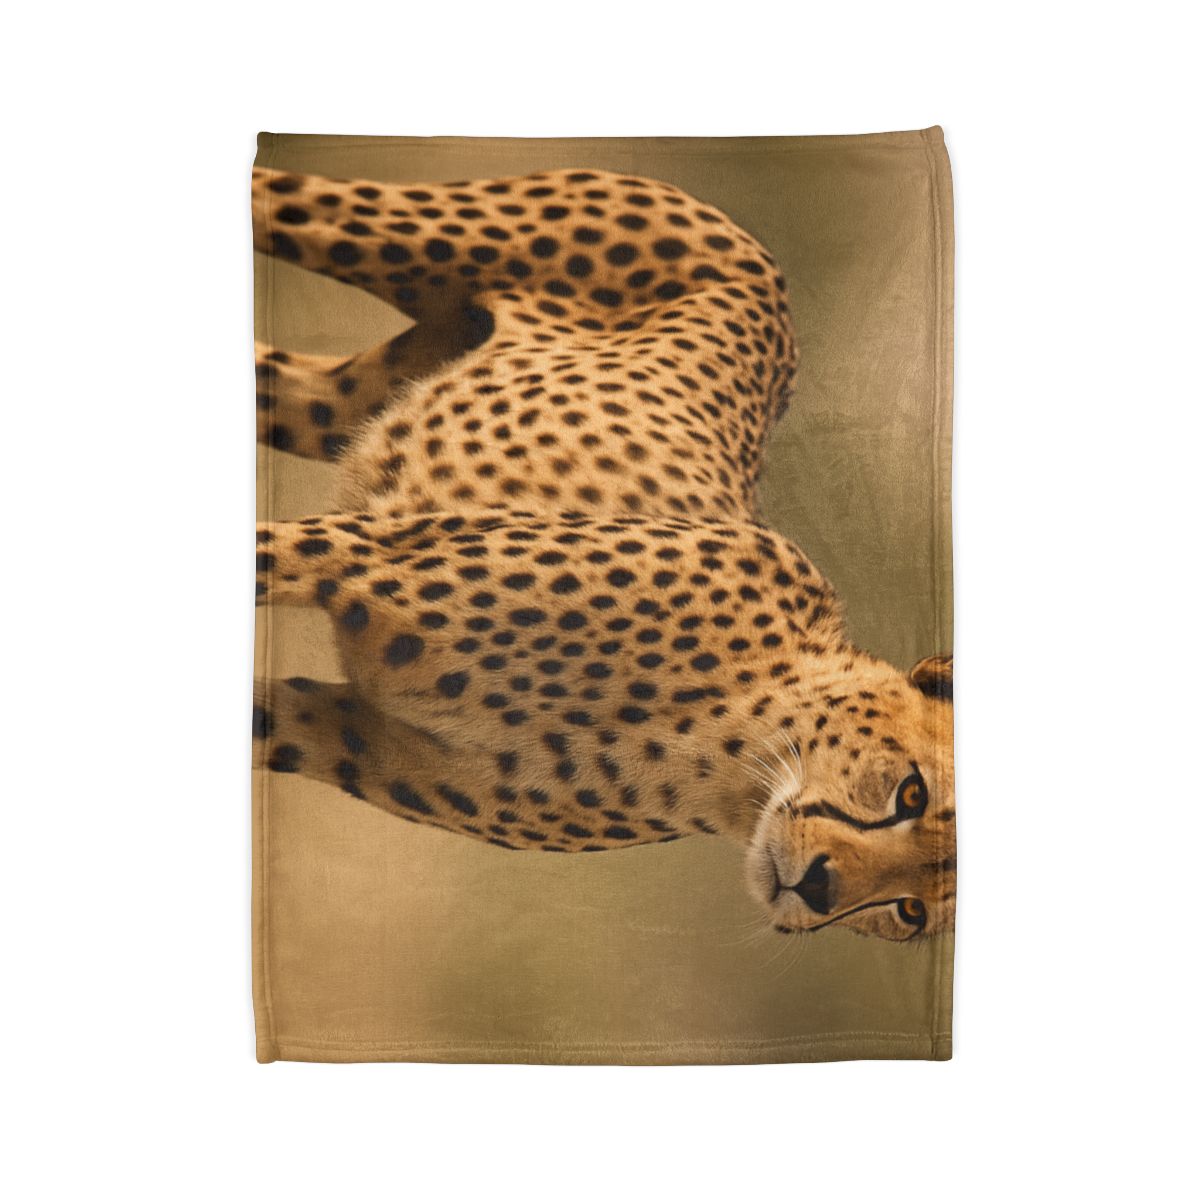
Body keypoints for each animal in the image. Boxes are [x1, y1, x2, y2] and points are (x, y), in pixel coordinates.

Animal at [251, 163, 955, 941]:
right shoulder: (357, 553)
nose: (821, 887)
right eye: (911, 793)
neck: (729, 746)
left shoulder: (336, 730)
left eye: (913, 909)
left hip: (340, 397)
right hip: (396, 235)